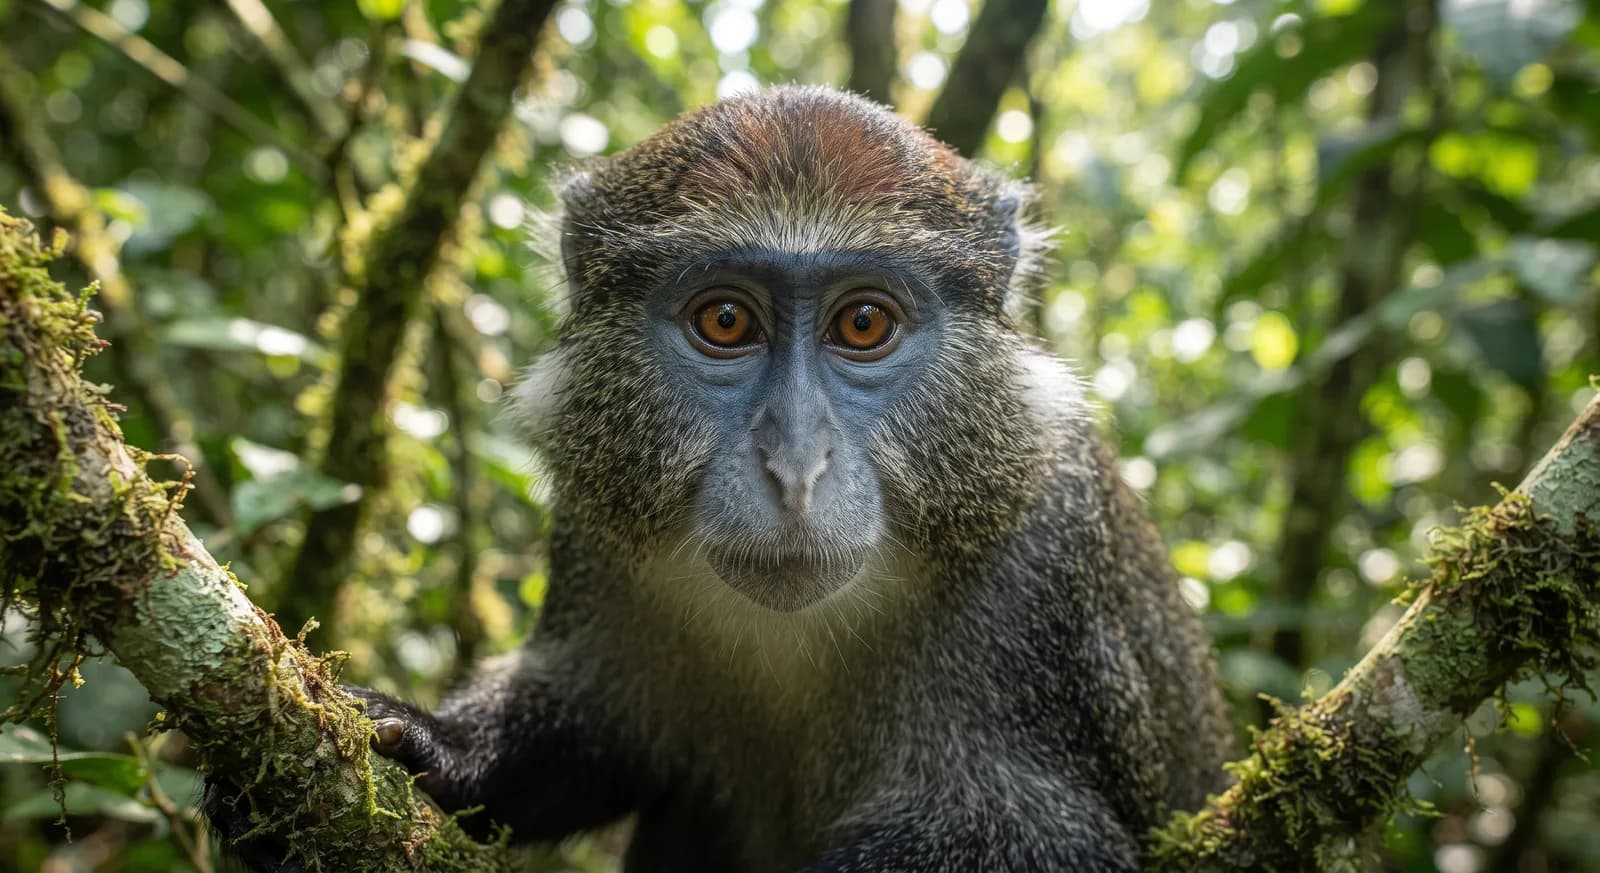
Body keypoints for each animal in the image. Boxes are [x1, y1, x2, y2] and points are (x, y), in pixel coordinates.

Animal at [213, 85, 1234, 872]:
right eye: (727, 322)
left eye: (864, 323)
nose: (795, 465)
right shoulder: (600, 531)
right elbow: (591, 730)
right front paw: (418, 746)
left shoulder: (1042, 575)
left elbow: (1049, 836)